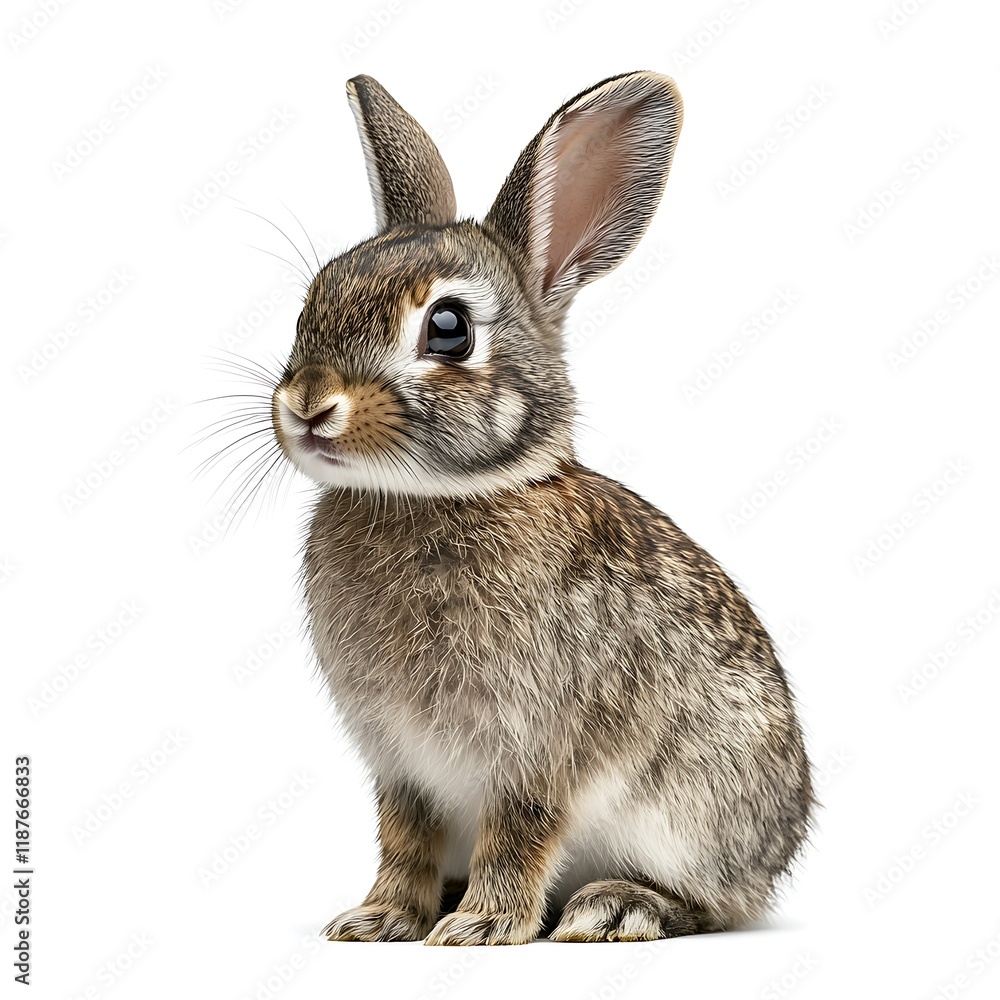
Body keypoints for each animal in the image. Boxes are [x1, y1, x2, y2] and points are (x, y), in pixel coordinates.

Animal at [269, 71, 813, 946]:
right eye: (313, 300)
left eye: (448, 329)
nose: (308, 406)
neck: (441, 494)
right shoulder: (401, 765)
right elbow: (404, 837)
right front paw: (380, 920)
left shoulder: (537, 748)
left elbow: (520, 831)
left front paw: (482, 928)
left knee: (715, 904)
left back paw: (615, 905)